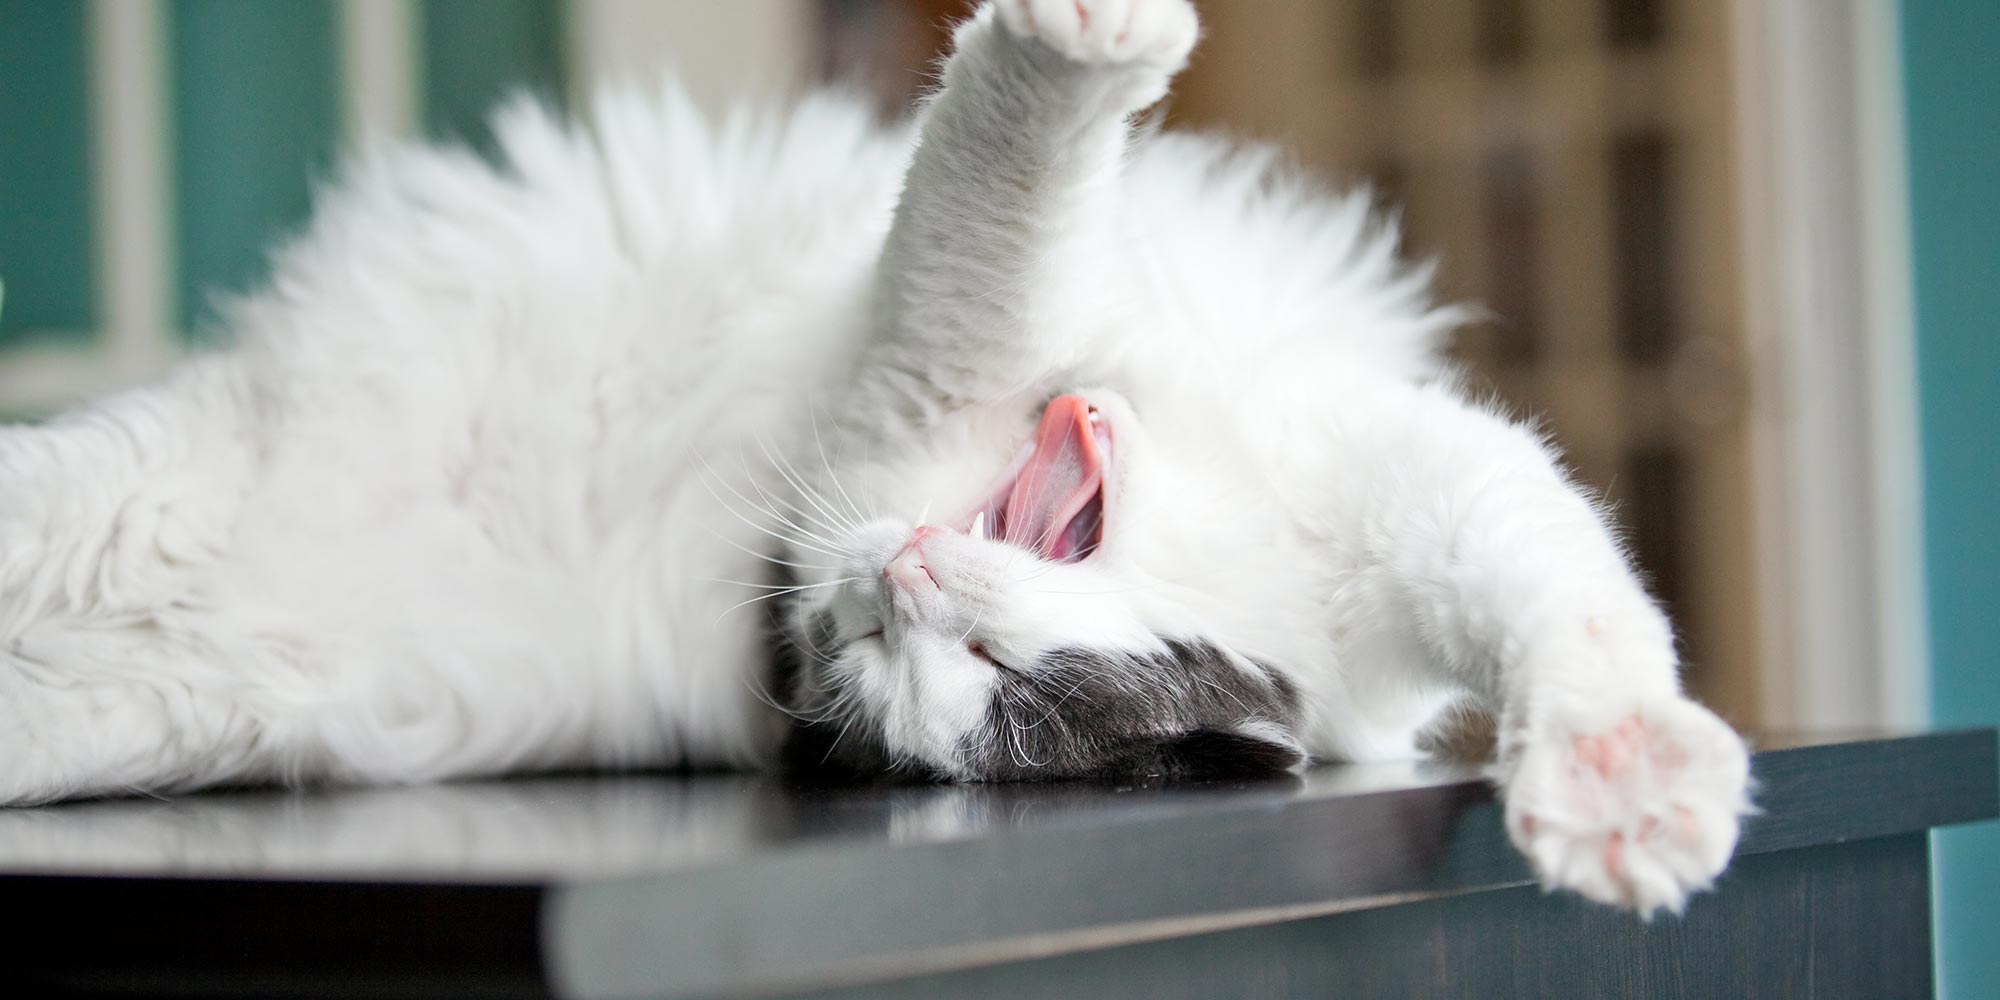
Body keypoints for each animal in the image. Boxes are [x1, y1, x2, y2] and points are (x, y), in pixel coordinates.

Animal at [0, 0, 1752, 916]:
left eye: (960, 676)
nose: (896, 581)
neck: (1209, 500)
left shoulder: (1417, 505)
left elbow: (1571, 616)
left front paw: (1622, 796)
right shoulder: (968, 367)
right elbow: (1018, 164)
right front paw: (1095, 36)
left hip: (191, 663)